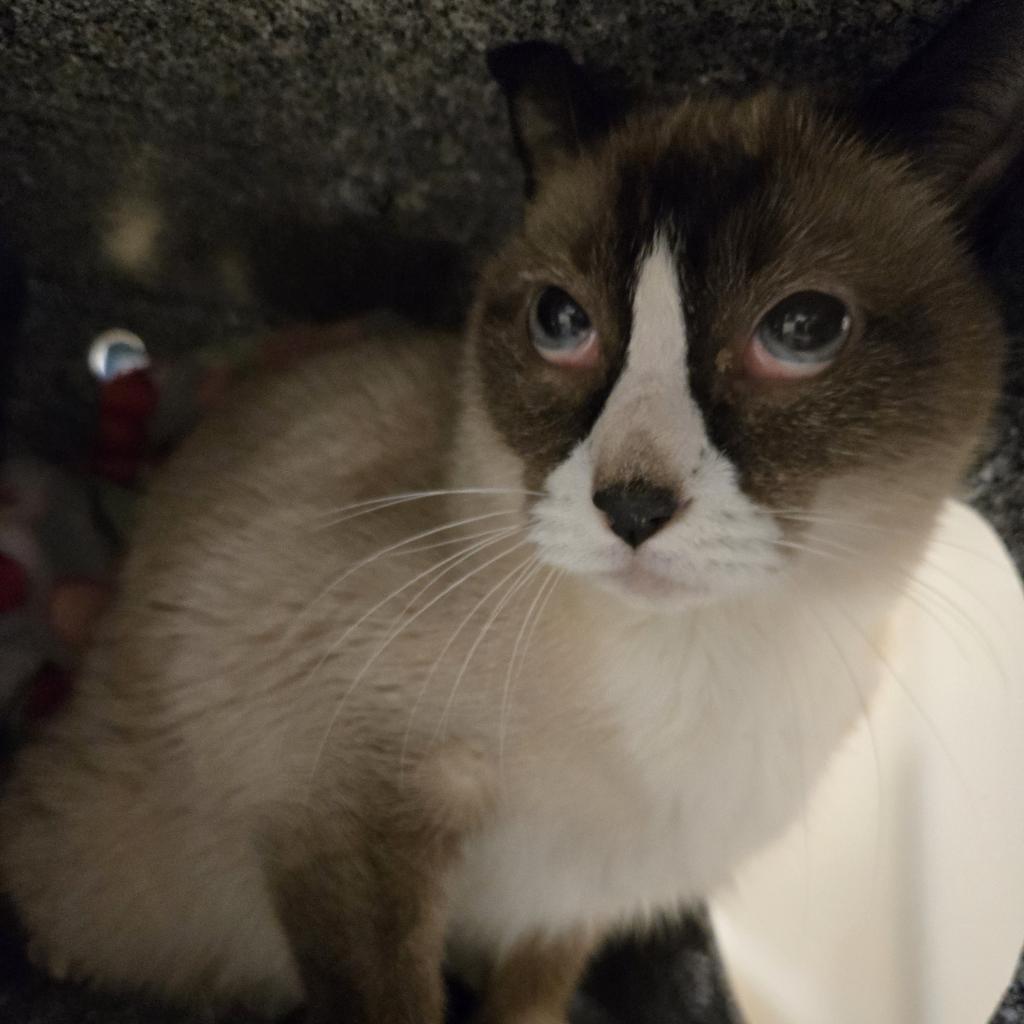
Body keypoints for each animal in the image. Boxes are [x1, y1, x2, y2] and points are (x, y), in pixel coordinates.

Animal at [2, 0, 1024, 1019]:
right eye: (560, 323)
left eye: (803, 330)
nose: (631, 507)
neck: (691, 672)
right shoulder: (345, 815)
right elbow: (390, 999)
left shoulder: (572, 904)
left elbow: (525, 1006)